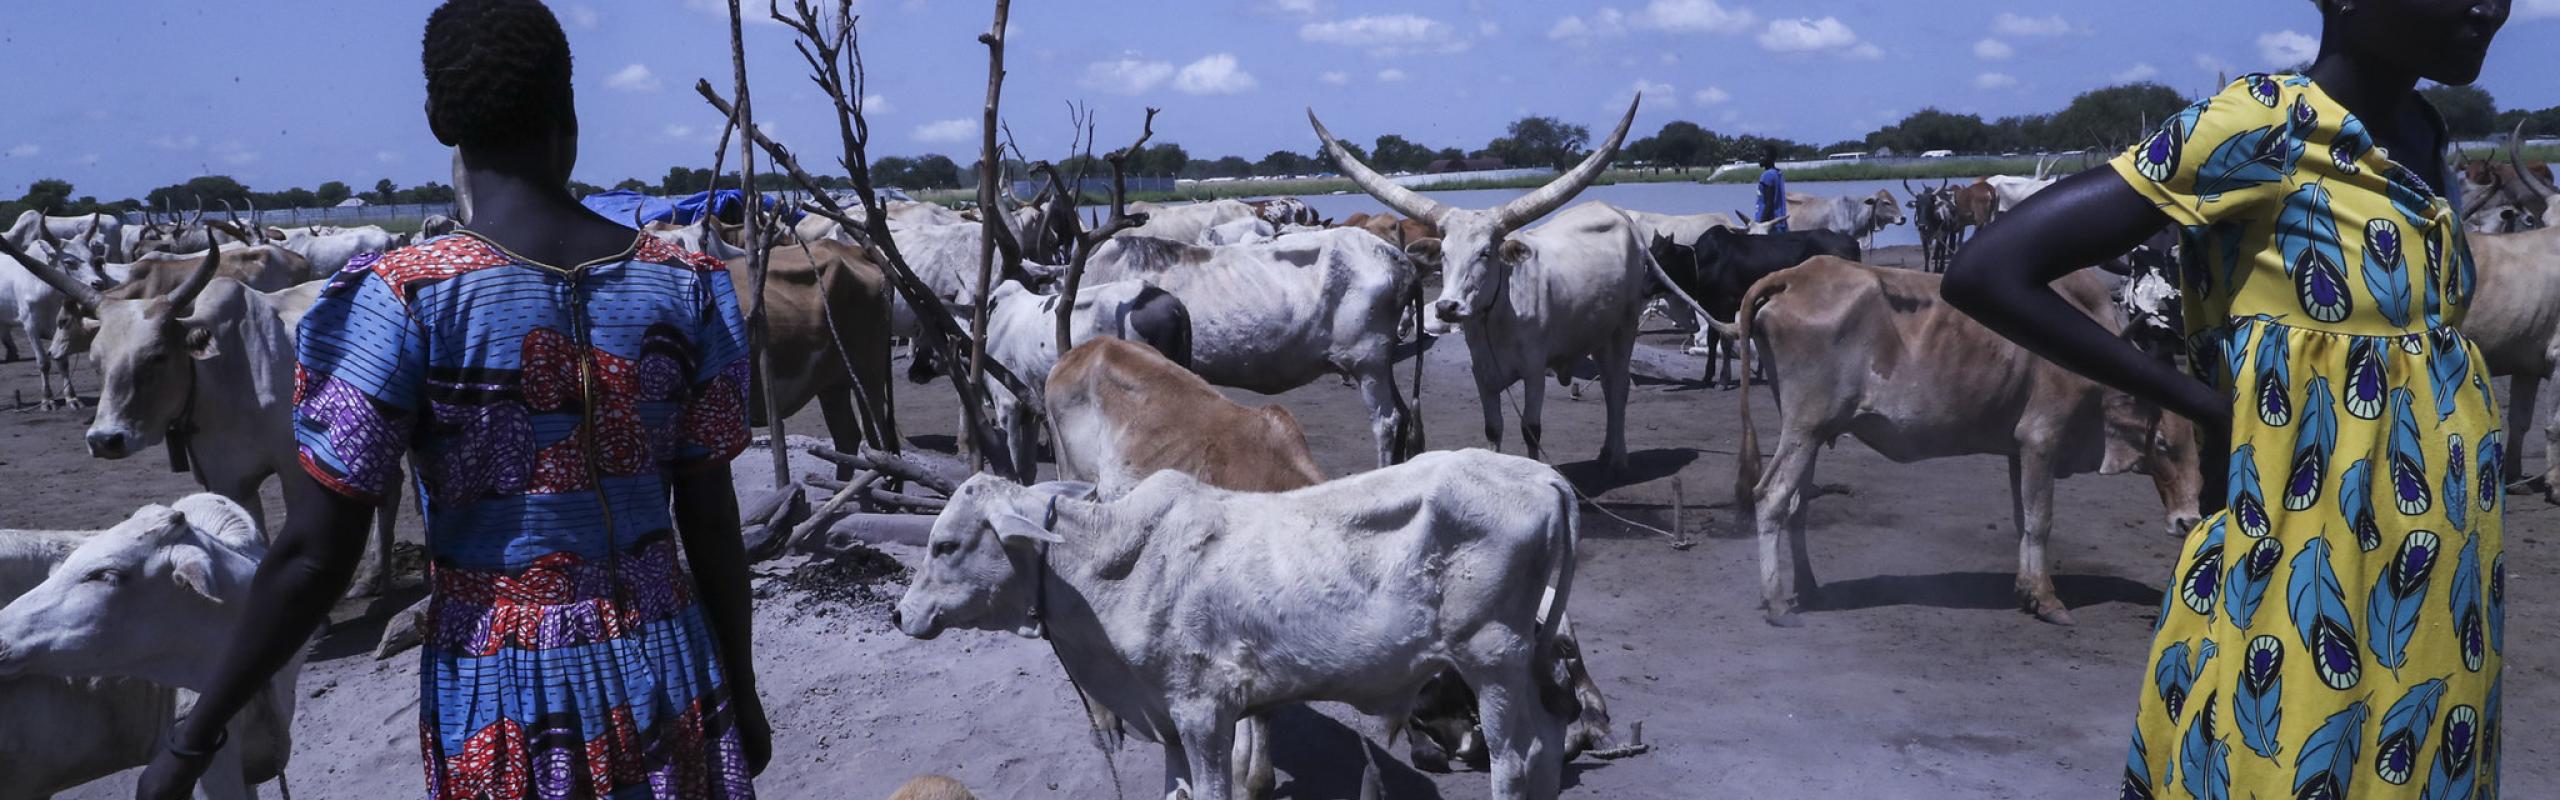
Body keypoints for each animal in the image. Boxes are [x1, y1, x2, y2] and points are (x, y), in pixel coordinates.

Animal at [896, 451, 1576, 800]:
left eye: (946, 545)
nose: (900, 613)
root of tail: (1545, 474)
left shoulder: (1203, 711)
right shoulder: (1167, 717)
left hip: (1491, 661)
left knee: (1514, 762)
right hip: (1517, 669)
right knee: (1546, 748)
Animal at [1310, 96, 1648, 469]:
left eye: (1486, 252)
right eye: (1444, 253)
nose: (1447, 307)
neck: (1497, 318)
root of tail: (1614, 212)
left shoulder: (1534, 370)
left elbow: (1531, 429)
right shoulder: (1482, 373)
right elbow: (1493, 427)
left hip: (1626, 326)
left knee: (1619, 386)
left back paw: (1618, 457)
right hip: (1599, 332)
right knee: (1608, 384)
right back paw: (1606, 451)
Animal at [1730, 256, 2211, 625]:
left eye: (2193, 444)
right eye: (2162, 443)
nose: (2188, 520)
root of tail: (1796, 274)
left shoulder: (2019, 449)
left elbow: (2022, 520)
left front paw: (2026, 591)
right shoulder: (2043, 438)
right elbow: (2040, 522)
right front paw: (2047, 600)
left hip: (1808, 433)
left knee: (1797, 506)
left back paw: (1808, 589)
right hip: (1804, 429)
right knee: (1771, 497)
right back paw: (1777, 603)